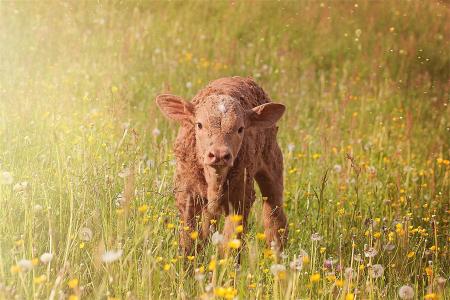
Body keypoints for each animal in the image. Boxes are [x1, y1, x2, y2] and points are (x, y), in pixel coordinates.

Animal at [156, 75, 286, 253]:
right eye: (199, 125)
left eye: (240, 129)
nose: (219, 155)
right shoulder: (187, 195)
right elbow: (189, 241)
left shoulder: (240, 199)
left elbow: (230, 244)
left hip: (273, 161)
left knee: (274, 215)